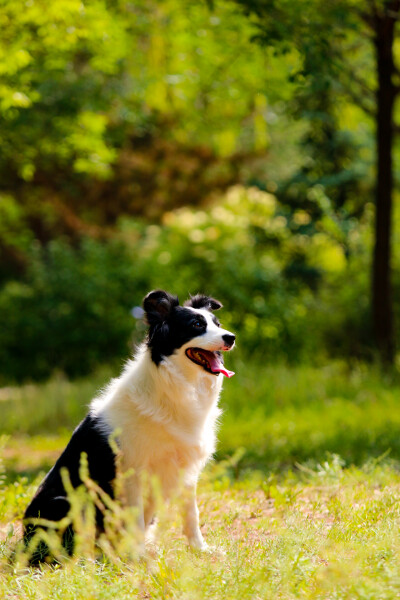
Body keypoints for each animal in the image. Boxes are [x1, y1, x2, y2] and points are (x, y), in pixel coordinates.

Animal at [23, 288, 236, 560]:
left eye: (217, 324)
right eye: (196, 325)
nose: (231, 337)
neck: (175, 388)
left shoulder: (185, 469)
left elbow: (191, 515)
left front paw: (200, 549)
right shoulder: (133, 473)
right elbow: (136, 519)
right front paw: (138, 558)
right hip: (66, 500)